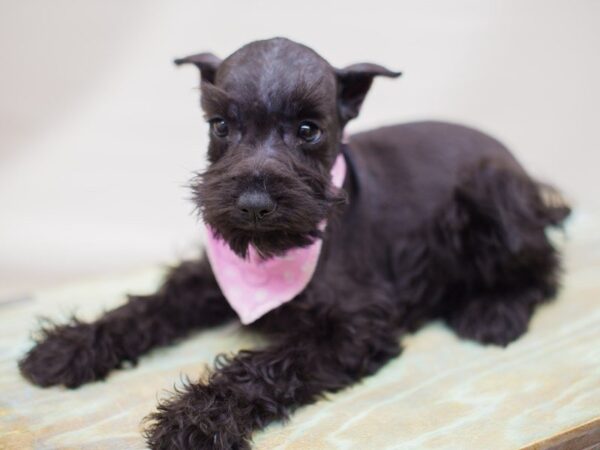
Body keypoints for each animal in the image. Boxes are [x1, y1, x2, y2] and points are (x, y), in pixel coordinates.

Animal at [19, 37, 572, 448]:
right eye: (221, 125)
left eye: (308, 129)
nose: (253, 204)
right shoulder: (210, 276)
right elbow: (148, 306)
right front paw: (70, 346)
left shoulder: (353, 328)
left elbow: (263, 366)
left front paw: (192, 420)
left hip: (493, 197)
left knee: (544, 268)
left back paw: (494, 312)